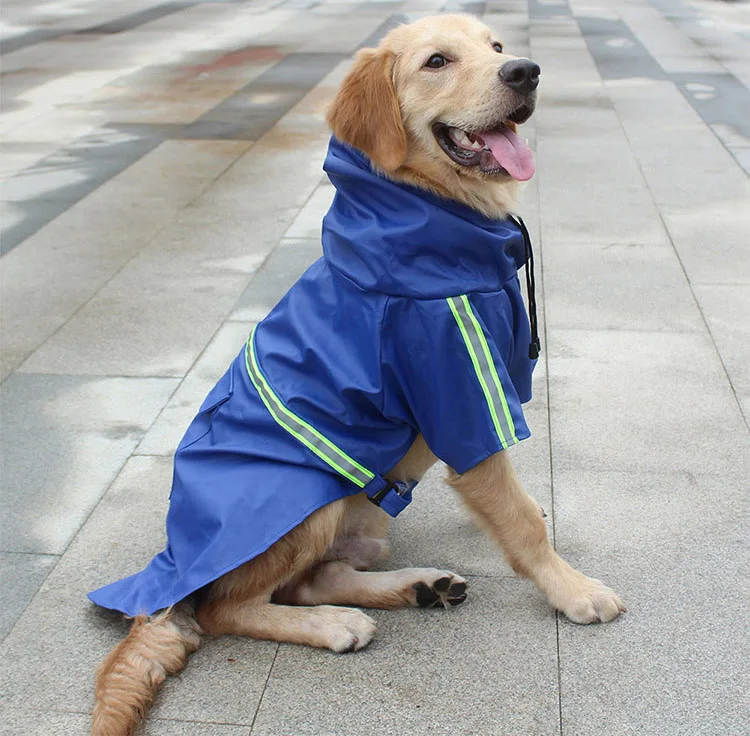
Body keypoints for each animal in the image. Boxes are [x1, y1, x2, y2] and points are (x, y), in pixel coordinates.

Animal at [91, 14, 624, 732]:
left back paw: (418, 587)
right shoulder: (460, 393)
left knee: (314, 579)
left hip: (367, 518)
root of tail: (171, 566)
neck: (433, 223)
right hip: (307, 497)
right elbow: (519, 520)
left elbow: (512, 503)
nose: (526, 72)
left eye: (496, 48)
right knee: (227, 608)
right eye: (437, 61)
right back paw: (334, 625)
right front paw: (574, 590)